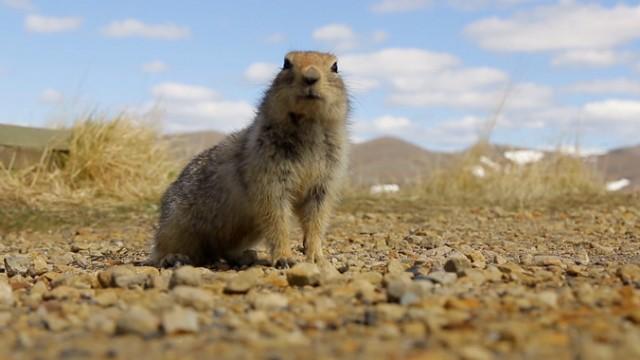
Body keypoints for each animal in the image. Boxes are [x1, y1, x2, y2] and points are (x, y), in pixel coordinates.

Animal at [150, 50, 350, 268]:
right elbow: (276, 215)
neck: (308, 125)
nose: (311, 77)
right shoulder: (268, 172)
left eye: (335, 66)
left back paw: (245, 255)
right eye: (286, 63)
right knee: (160, 248)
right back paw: (173, 257)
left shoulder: (325, 181)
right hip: (175, 223)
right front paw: (284, 258)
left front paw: (317, 257)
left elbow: (317, 218)